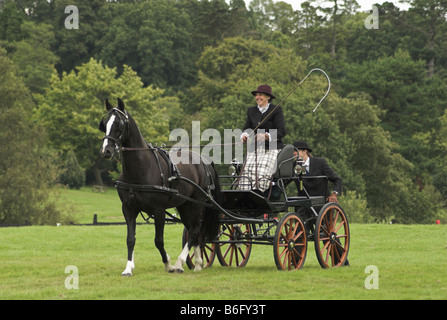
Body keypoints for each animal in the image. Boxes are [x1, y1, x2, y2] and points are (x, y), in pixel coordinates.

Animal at [100, 98, 222, 276]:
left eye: (119, 124)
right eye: (104, 123)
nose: (106, 151)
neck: (141, 168)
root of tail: (202, 160)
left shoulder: (158, 210)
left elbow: (158, 241)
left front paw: (168, 264)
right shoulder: (128, 209)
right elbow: (130, 239)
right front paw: (128, 268)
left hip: (197, 204)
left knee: (194, 230)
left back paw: (179, 263)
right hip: (185, 206)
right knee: (195, 230)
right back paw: (198, 263)